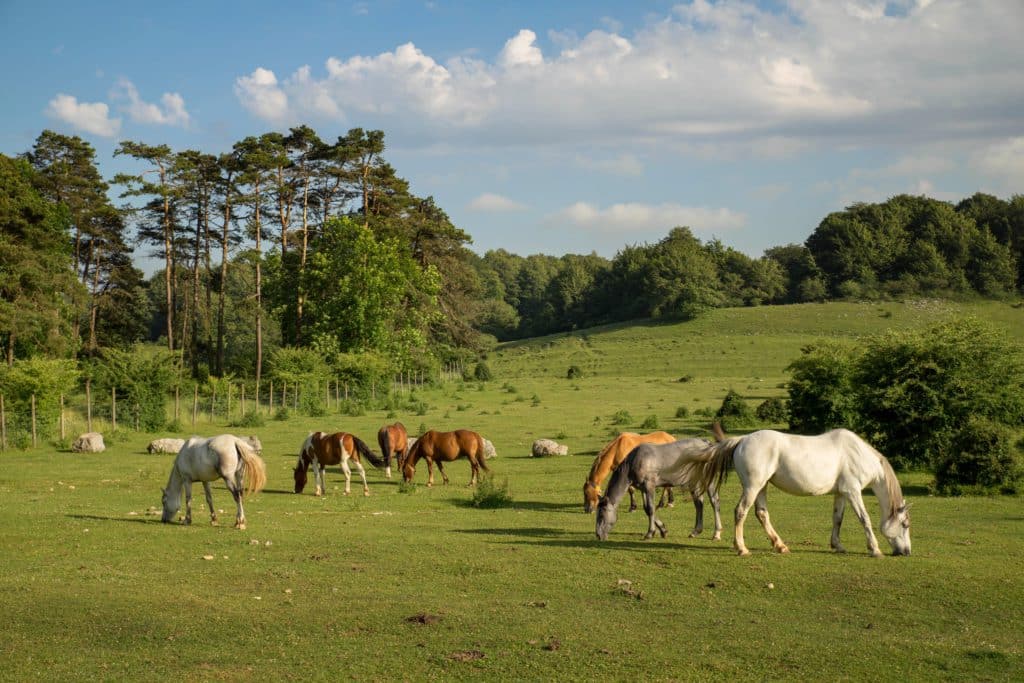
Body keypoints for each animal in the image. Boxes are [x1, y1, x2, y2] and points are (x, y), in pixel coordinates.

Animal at [585, 432, 720, 540]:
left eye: (601, 515)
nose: (598, 535)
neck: (634, 461)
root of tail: (706, 443)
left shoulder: (649, 486)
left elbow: (650, 509)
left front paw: (650, 533)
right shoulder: (643, 488)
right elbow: (647, 509)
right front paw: (663, 530)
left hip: (708, 481)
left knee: (714, 502)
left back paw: (716, 533)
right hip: (694, 482)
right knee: (699, 504)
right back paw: (695, 531)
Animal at [688, 430, 913, 557]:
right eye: (904, 525)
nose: (907, 552)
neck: (858, 454)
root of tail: (742, 440)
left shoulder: (841, 493)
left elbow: (837, 519)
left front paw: (837, 545)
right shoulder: (853, 492)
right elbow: (864, 519)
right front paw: (875, 549)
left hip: (761, 487)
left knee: (761, 514)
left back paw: (780, 546)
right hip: (753, 486)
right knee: (740, 511)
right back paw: (742, 549)